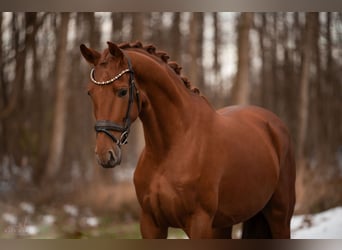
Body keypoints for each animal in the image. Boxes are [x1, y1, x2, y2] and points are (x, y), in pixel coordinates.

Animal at [81, 41, 296, 238]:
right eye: (90, 93)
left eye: (122, 91)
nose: (105, 154)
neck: (171, 148)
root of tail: (274, 124)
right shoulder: (151, 223)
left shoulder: (199, 222)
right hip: (224, 225)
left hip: (280, 217)